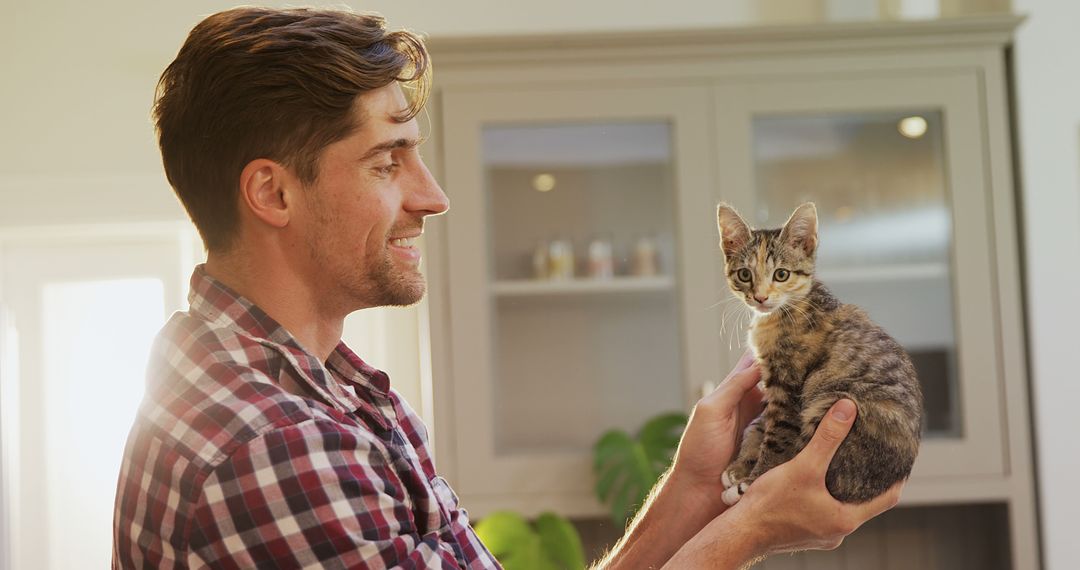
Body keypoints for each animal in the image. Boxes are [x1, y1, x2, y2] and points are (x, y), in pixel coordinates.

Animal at [717, 202, 920, 505]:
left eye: (781, 274)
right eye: (744, 274)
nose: (760, 298)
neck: (786, 310)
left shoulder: (788, 385)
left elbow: (778, 439)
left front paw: (752, 481)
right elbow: (761, 425)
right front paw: (741, 467)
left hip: (832, 399)